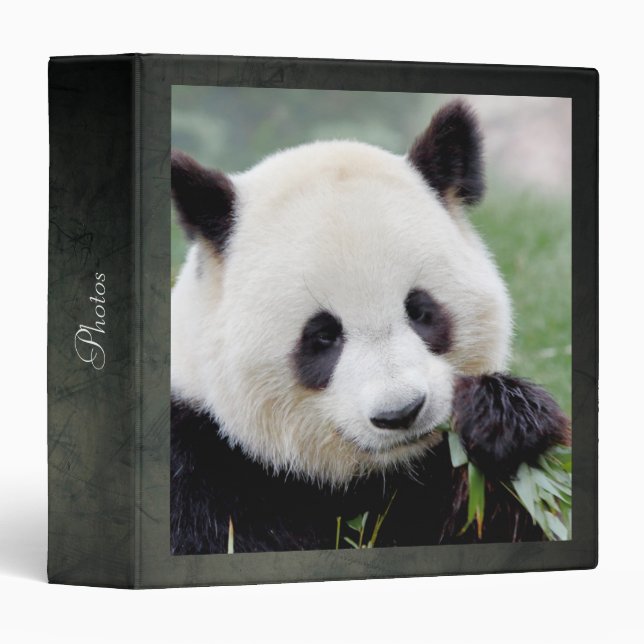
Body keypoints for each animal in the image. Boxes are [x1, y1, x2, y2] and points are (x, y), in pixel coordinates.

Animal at [170, 100, 569, 555]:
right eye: (323, 336)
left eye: (421, 311)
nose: (401, 412)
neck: (375, 474)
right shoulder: (200, 467)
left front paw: (502, 420)